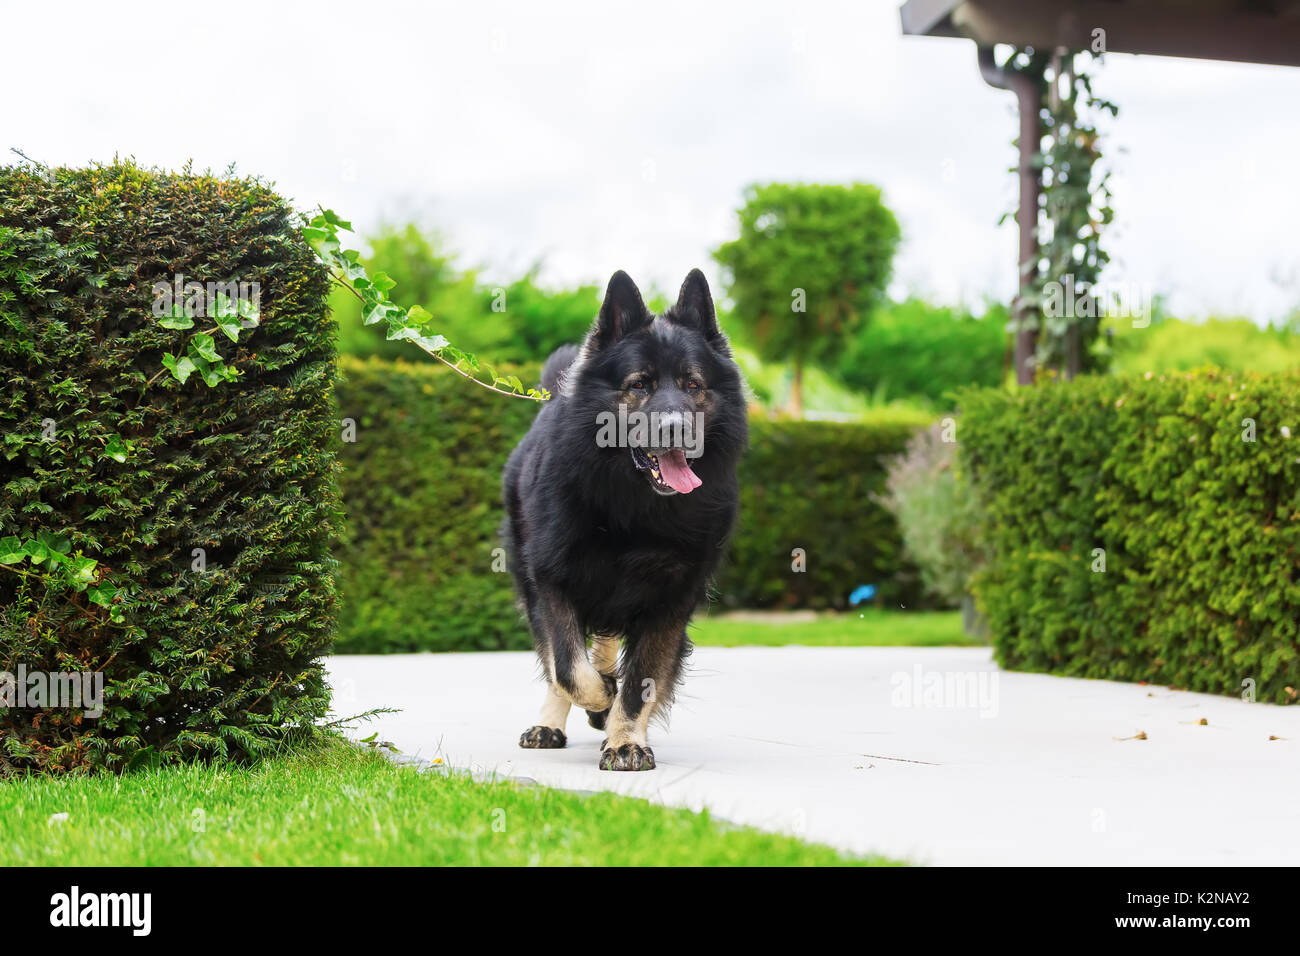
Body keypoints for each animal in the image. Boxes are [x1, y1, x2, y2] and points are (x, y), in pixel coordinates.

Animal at [506, 267, 754, 770]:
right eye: (640, 385)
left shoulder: (670, 602)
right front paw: (600, 698)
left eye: (693, 385)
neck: (634, 509)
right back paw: (554, 721)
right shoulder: (553, 581)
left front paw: (624, 739)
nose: (677, 429)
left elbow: (640, 681)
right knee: (559, 660)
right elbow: (567, 666)